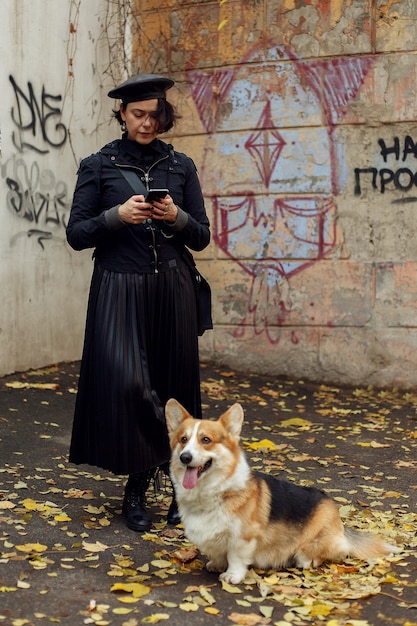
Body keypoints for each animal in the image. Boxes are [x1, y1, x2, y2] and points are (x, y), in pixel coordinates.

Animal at [164, 398, 398, 584]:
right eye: (183, 440)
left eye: (206, 440)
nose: (185, 457)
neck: (214, 491)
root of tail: (337, 517)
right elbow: (219, 554)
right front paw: (217, 564)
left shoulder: (243, 538)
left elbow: (236, 558)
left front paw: (232, 575)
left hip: (315, 545)